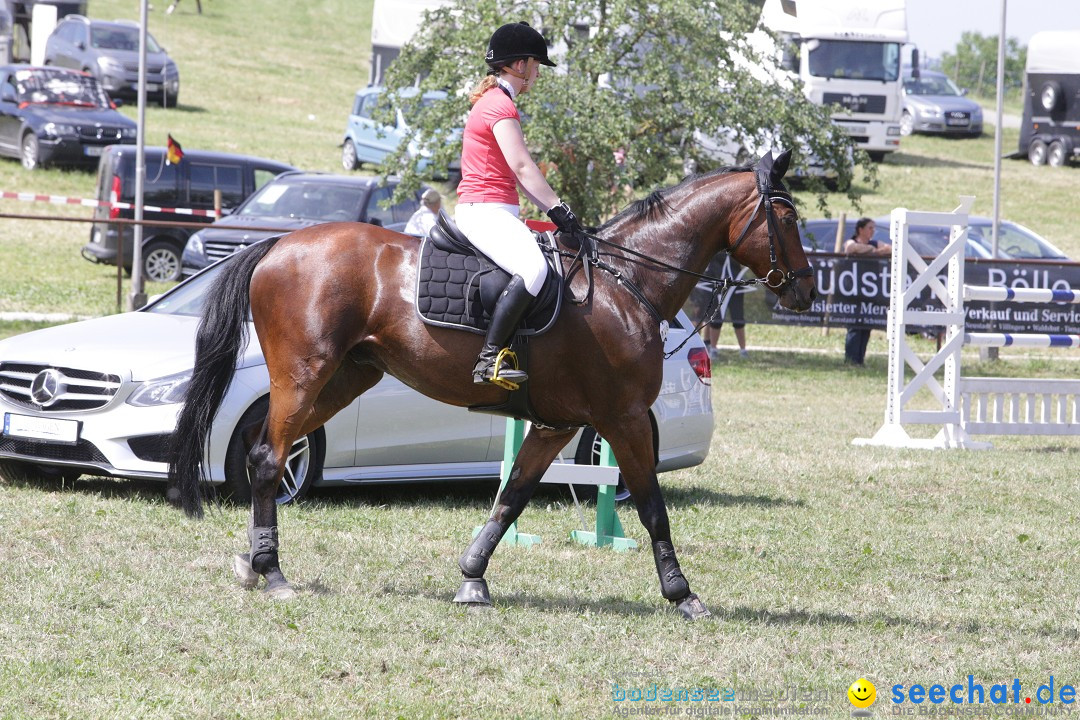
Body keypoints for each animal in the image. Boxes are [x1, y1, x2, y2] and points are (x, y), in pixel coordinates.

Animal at [168, 151, 812, 621]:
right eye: (788, 219)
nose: (804, 291)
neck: (627, 282)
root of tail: (278, 243)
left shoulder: (558, 424)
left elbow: (511, 497)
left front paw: (472, 578)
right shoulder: (623, 417)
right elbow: (654, 508)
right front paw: (684, 595)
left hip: (345, 378)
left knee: (267, 454)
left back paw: (254, 563)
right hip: (304, 376)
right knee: (269, 459)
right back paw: (271, 572)